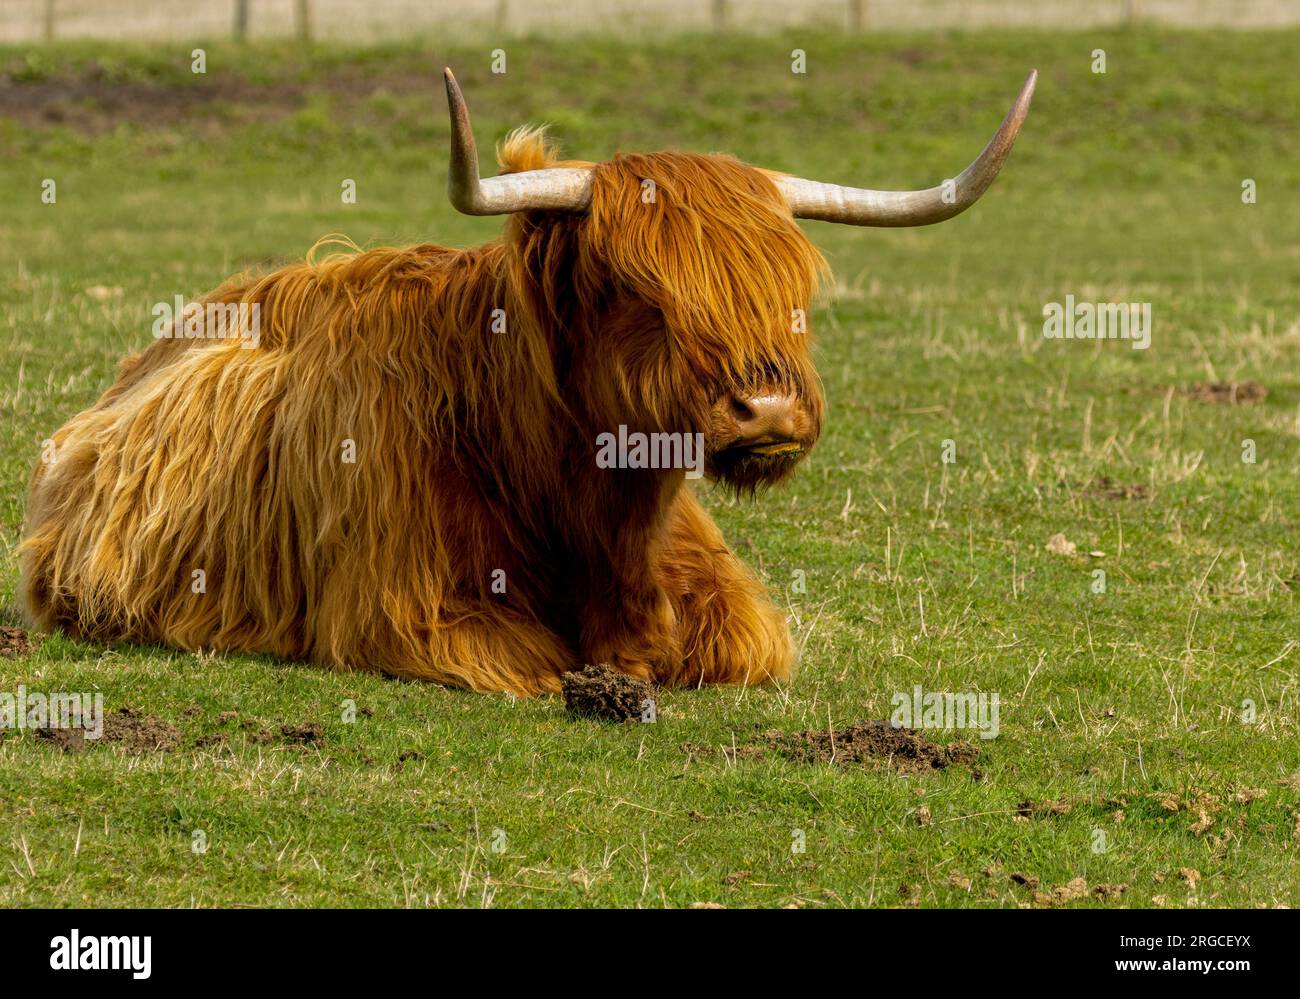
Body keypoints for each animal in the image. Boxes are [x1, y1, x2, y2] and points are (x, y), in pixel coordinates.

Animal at [19, 68, 1035, 696]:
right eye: (637, 287)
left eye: (793, 289)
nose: (770, 409)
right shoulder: (415, 609)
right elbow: (539, 659)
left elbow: (743, 643)